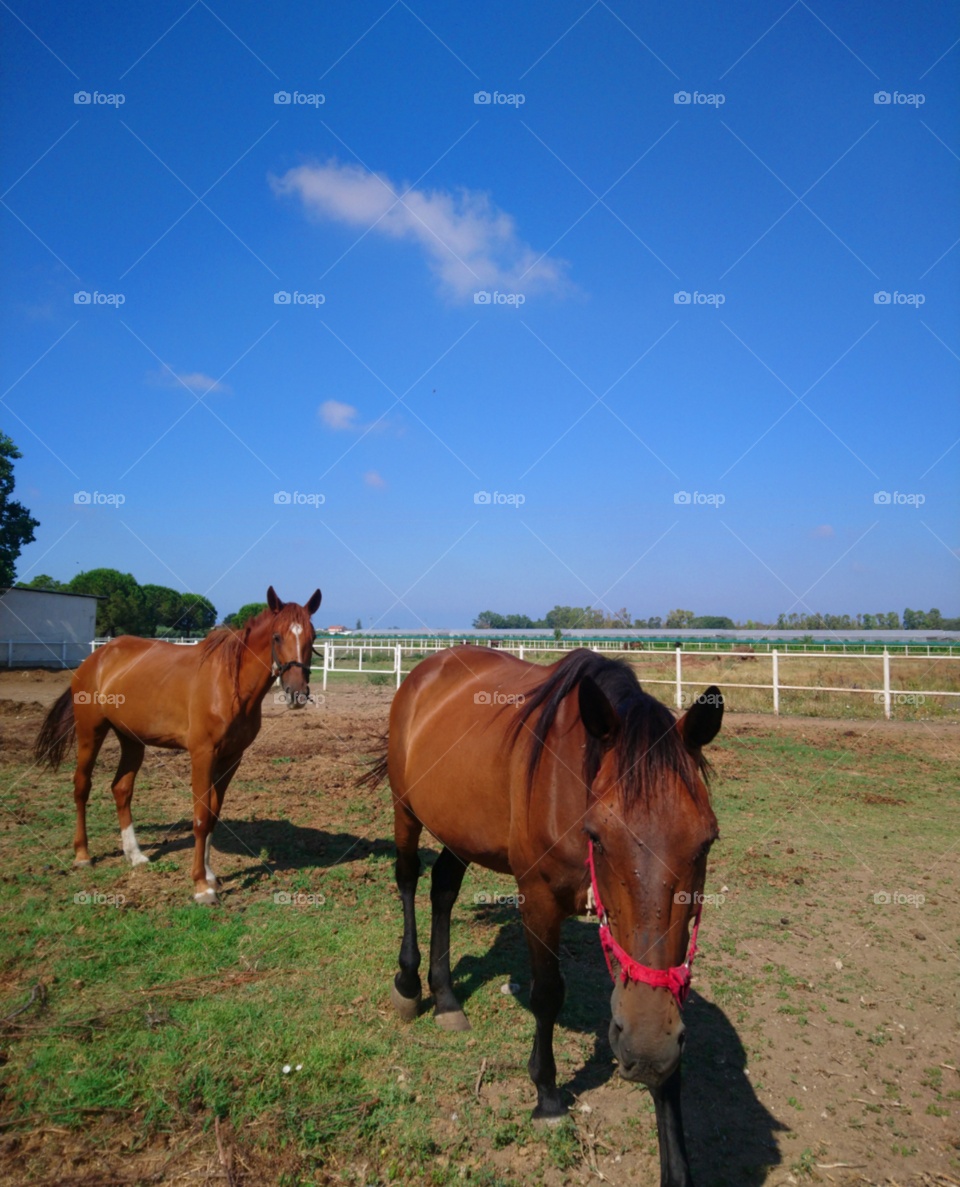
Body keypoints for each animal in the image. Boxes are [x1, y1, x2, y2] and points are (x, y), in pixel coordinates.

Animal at [35, 587, 322, 903]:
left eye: (313, 637)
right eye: (277, 636)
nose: (297, 693)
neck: (228, 683)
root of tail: (96, 657)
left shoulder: (231, 758)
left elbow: (213, 813)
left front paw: (209, 874)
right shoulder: (202, 755)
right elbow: (200, 816)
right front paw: (201, 886)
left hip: (132, 741)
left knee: (121, 789)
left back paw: (134, 854)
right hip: (90, 733)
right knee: (81, 787)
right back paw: (82, 855)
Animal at [362, 646, 722, 1187]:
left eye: (706, 841)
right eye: (598, 837)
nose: (646, 1050)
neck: (573, 783)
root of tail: (426, 670)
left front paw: (675, 1162)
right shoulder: (538, 898)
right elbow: (548, 995)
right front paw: (548, 1098)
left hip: (461, 831)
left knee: (443, 889)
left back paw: (446, 998)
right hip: (405, 808)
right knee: (407, 879)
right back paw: (408, 985)